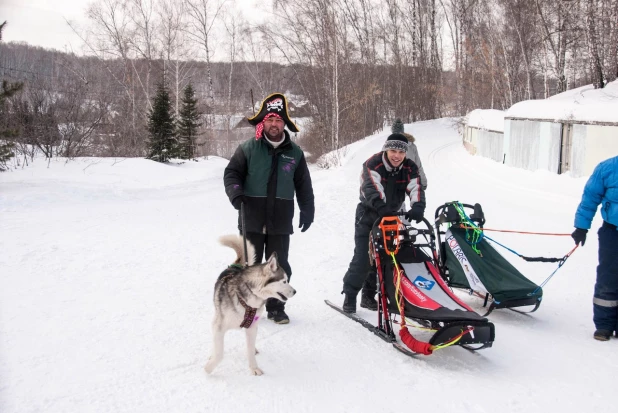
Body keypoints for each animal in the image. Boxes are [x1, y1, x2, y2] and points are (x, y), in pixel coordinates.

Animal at [205, 233, 296, 374]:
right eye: (284, 281)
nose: (295, 291)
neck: (247, 300)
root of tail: (235, 266)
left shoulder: (252, 327)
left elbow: (249, 349)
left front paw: (254, 368)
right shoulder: (219, 326)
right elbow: (219, 353)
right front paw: (208, 368)